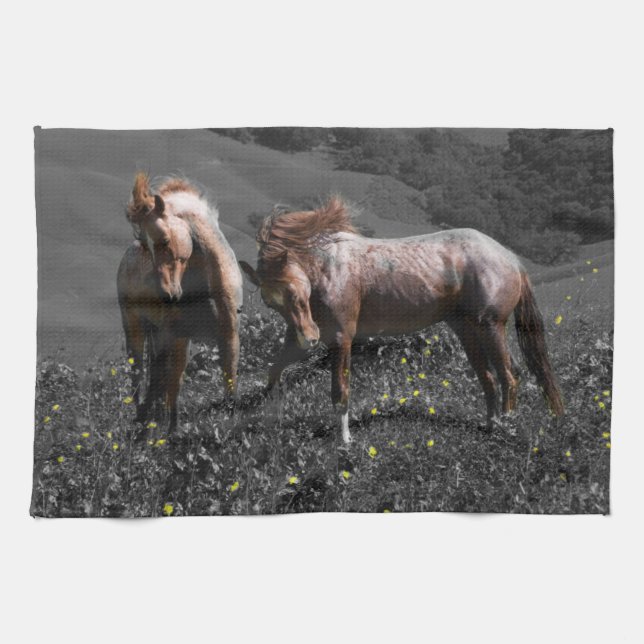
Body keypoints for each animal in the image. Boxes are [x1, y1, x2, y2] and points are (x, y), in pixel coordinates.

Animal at [117, 174, 243, 431]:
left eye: (165, 240)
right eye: (146, 247)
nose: (167, 295)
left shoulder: (228, 333)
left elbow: (229, 376)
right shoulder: (177, 337)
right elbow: (170, 383)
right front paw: (170, 430)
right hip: (135, 327)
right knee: (140, 375)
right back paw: (143, 418)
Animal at [239, 196, 564, 444]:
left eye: (295, 291)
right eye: (270, 302)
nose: (309, 338)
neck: (330, 268)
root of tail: (509, 257)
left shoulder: (341, 339)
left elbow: (340, 391)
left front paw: (344, 441)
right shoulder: (307, 339)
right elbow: (273, 372)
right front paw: (269, 410)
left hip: (491, 327)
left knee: (509, 376)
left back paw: (506, 425)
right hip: (467, 330)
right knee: (489, 378)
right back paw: (490, 425)